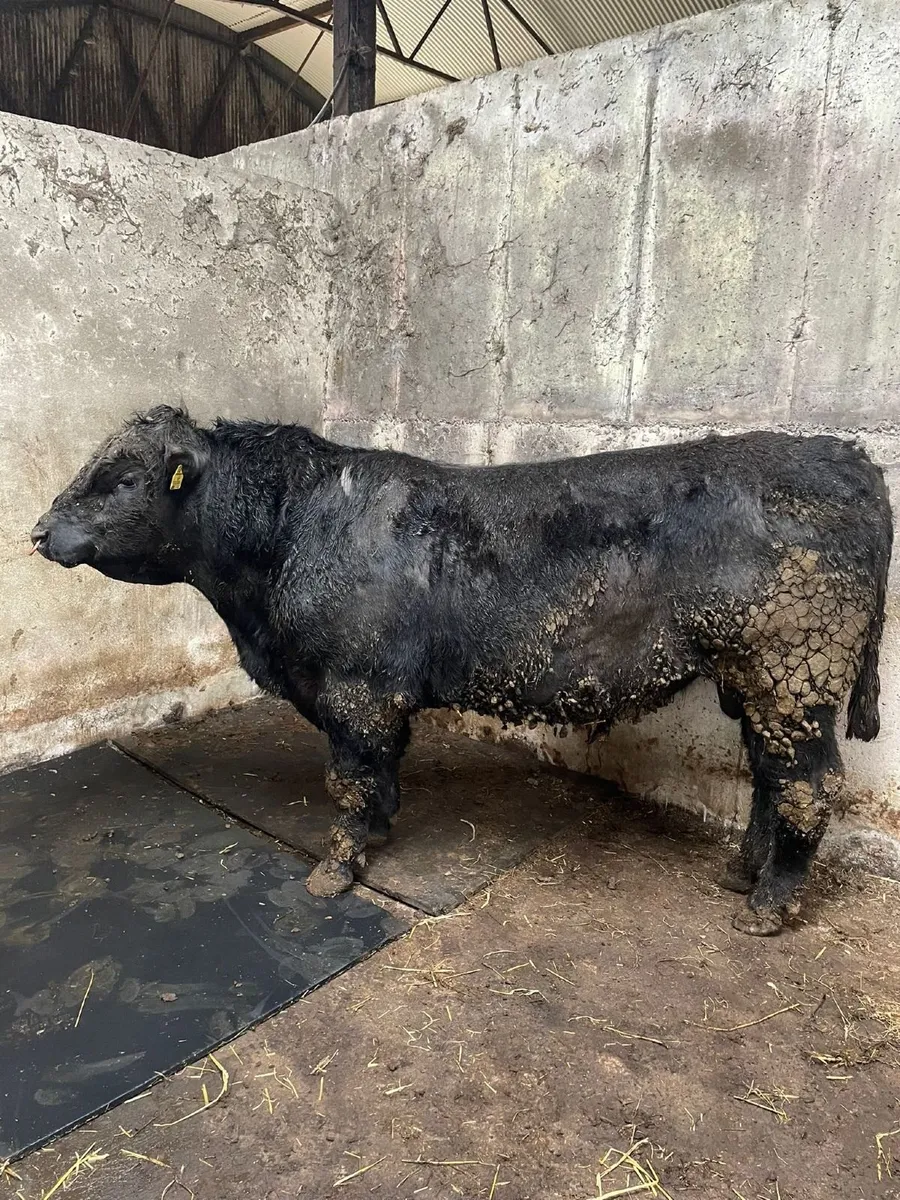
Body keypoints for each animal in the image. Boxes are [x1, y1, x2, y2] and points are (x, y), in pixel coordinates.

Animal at [31, 406, 892, 935]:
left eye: (123, 477)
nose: (39, 531)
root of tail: (844, 454)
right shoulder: (372, 698)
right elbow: (380, 776)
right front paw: (378, 832)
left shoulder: (354, 688)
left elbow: (349, 780)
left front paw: (335, 870)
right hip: (761, 682)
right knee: (770, 777)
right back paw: (742, 873)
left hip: (793, 671)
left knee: (809, 786)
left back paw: (768, 906)